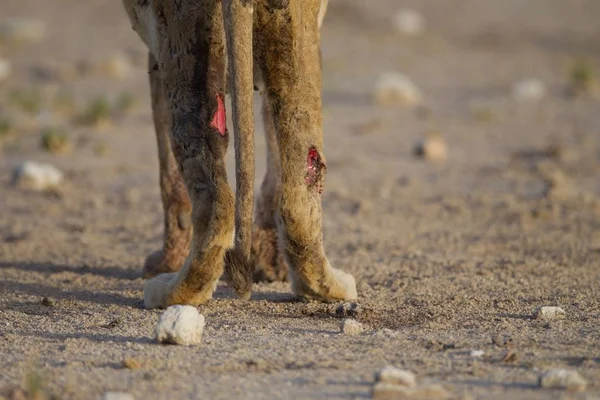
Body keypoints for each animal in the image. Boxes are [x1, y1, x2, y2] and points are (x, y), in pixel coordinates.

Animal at [121, 0, 356, 310]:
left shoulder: (155, 54)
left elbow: (169, 177)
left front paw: (166, 261)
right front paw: (270, 262)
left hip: (181, 36)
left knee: (213, 201)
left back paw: (167, 292)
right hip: (294, 33)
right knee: (299, 194)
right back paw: (328, 289)